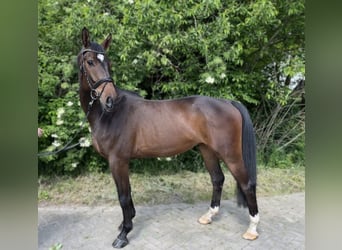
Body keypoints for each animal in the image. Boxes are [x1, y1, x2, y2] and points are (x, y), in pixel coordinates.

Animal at [77, 27, 260, 248]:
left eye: (108, 63)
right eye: (90, 62)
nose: (110, 99)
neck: (109, 115)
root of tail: (228, 102)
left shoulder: (118, 161)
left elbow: (123, 196)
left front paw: (123, 234)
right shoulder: (120, 162)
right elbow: (127, 194)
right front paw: (125, 224)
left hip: (231, 154)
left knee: (247, 184)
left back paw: (252, 229)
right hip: (206, 150)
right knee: (217, 179)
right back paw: (208, 216)